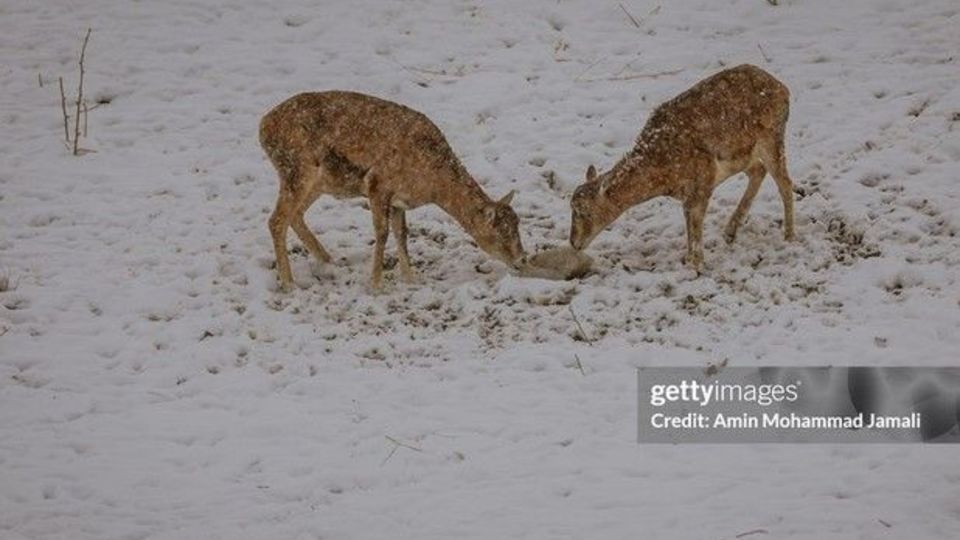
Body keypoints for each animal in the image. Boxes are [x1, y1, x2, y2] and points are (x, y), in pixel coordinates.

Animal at [258, 92, 524, 292]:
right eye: (501, 233)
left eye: (517, 225)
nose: (522, 258)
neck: (431, 185)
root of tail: (263, 127)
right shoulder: (377, 184)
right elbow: (382, 232)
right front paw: (376, 285)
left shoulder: (399, 200)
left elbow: (402, 233)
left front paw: (411, 278)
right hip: (297, 170)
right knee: (277, 220)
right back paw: (290, 283)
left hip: (318, 182)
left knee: (295, 215)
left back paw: (328, 261)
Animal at [568, 65, 796, 272]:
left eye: (582, 210)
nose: (573, 242)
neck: (663, 174)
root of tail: (783, 89)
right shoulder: (689, 193)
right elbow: (688, 221)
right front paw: (688, 260)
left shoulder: (703, 181)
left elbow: (696, 222)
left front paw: (697, 264)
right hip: (742, 155)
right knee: (759, 170)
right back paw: (730, 232)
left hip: (771, 138)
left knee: (785, 182)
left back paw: (789, 236)